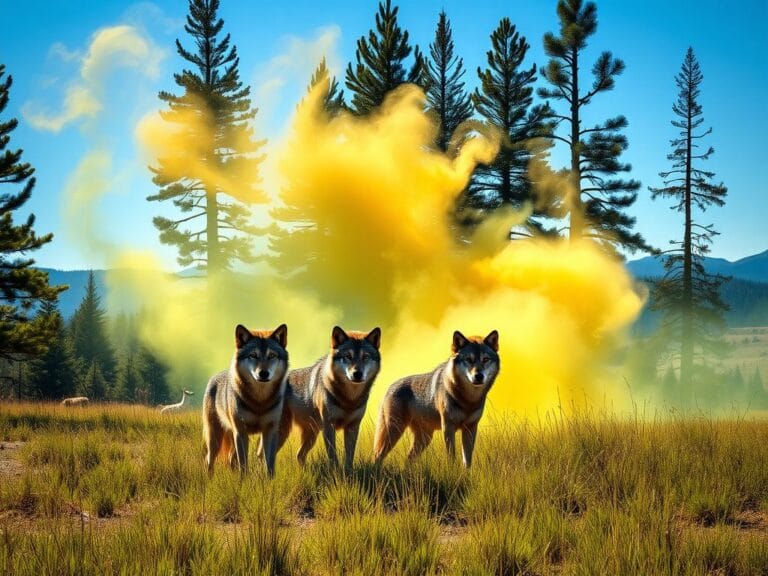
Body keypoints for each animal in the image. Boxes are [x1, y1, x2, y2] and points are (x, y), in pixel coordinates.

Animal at [203, 323, 288, 477]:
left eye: (272, 355)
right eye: (253, 355)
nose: (263, 373)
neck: (259, 401)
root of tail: (214, 377)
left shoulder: (270, 431)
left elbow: (269, 465)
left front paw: (270, 481)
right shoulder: (241, 432)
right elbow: (244, 465)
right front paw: (244, 481)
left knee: (231, 459)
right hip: (215, 439)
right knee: (209, 460)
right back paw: (209, 479)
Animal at [277, 326, 381, 471]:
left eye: (365, 357)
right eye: (348, 356)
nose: (357, 374)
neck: (349, 399)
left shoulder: (353, 427)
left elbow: (349, 456)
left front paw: (348, 473)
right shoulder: (328, 426)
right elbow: (333, 455)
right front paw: (336, 472)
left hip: (311, 435)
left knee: (299, 455)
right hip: (283, 432)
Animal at [373, 329, 499, 468]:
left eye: (485, 359)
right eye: (469, 359)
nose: (479, 376)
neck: (468, 400)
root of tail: (389, 387)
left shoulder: (471, 428)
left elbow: (467, 460)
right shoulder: (448, 427)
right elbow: (451, 456)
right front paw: (452, 471)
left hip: (424, 439)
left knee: (407, 460)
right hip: (394, 432)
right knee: (378, 456)